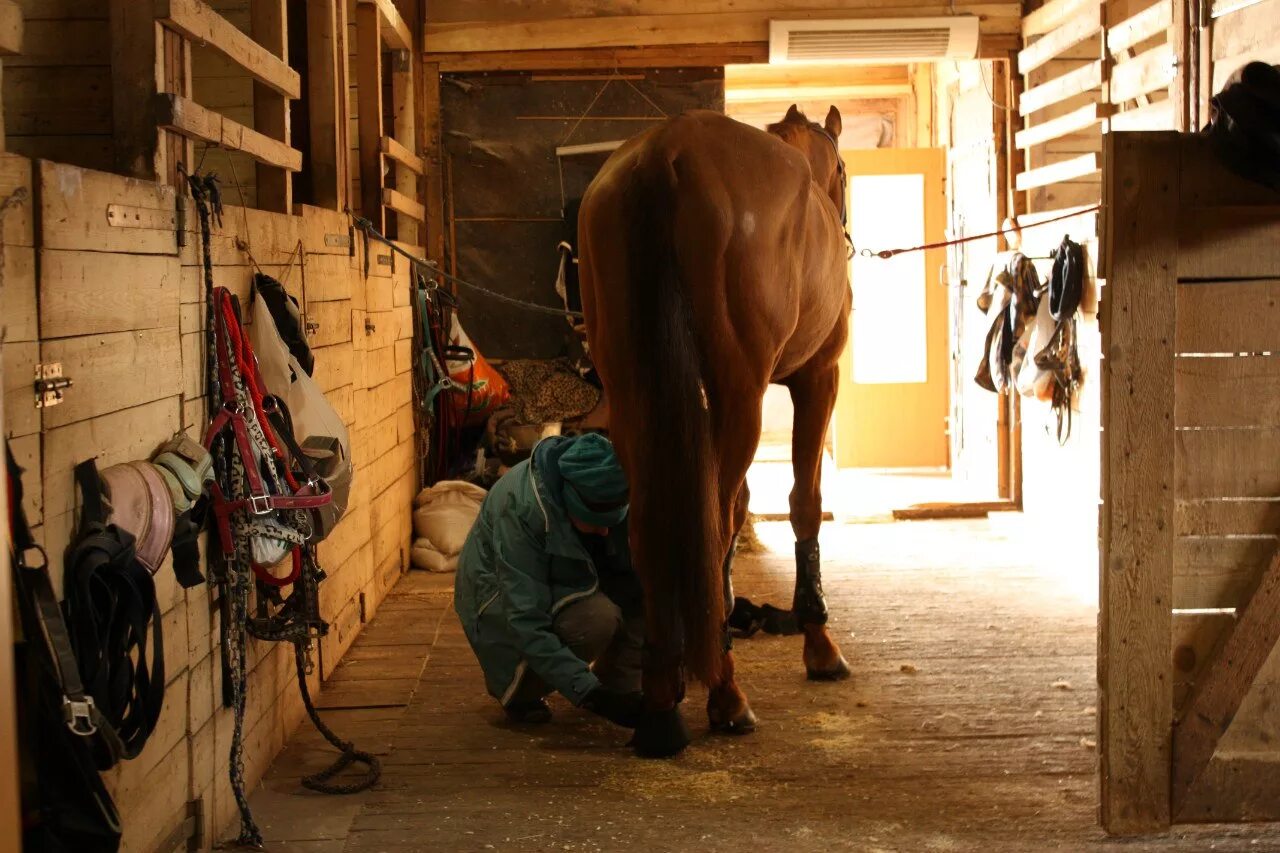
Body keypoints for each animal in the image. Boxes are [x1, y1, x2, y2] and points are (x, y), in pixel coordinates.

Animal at [578, 104, 849, 753]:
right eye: (845, 173)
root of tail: (666, 153)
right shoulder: (818, 378)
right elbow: (803, 504)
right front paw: (819, 642)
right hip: (740, 395)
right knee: (719, 520)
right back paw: (725, 693)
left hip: (632, 396)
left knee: (651, 527)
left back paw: (661, 702)